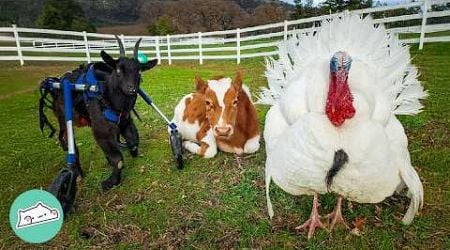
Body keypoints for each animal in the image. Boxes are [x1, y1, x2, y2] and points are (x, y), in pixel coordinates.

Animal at [39, 36, 158, 190]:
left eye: (139, 71)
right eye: (118, 70)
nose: (131, 89)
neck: (107, 95)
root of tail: (57, 83)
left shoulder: (125, 121)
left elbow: (133, 142)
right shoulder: (101, 129)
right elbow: (117, 159)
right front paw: (111, 182)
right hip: (63, 116)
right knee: (69, 142)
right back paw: (76, 173)